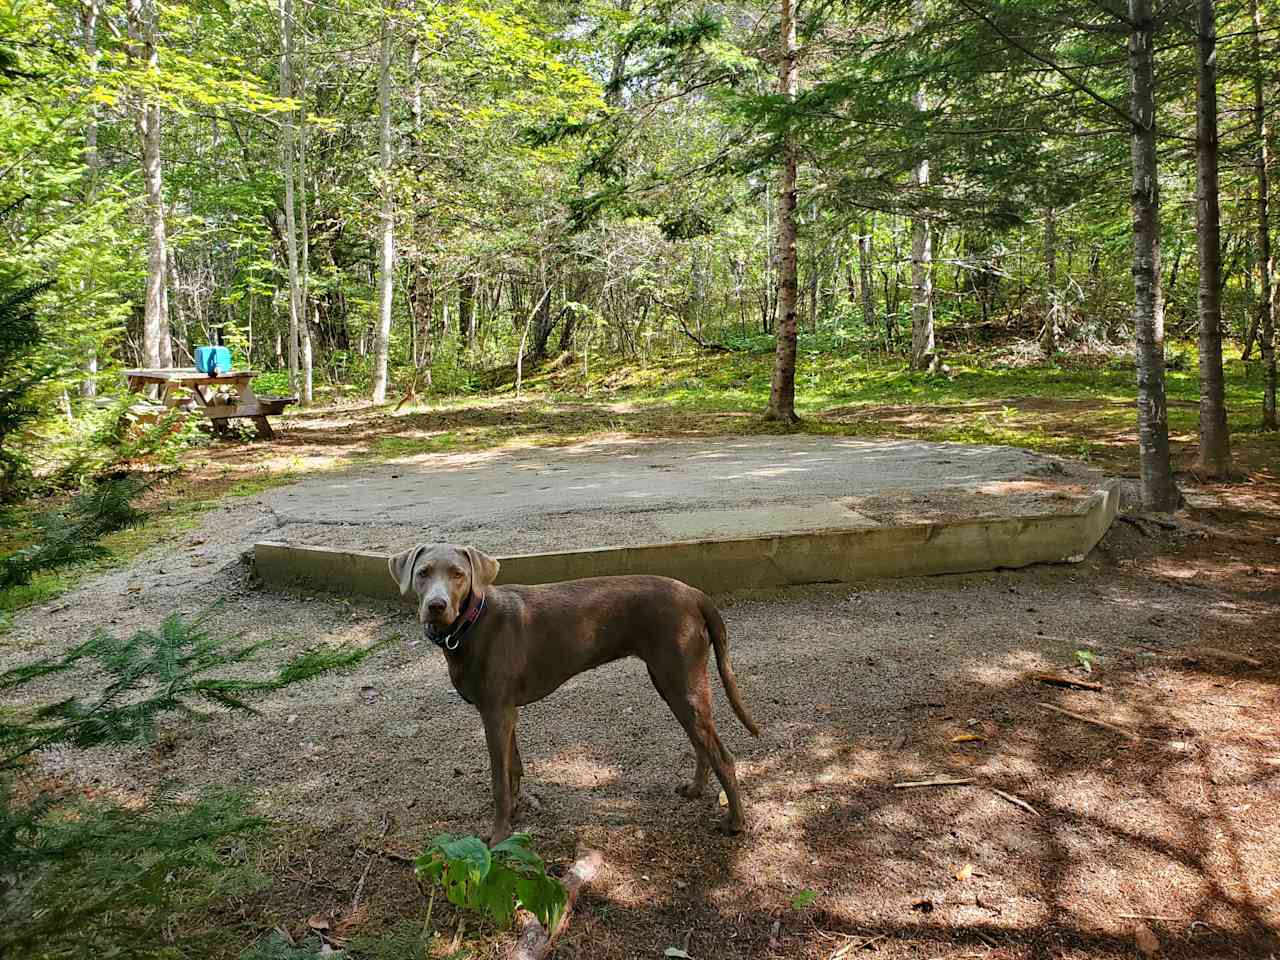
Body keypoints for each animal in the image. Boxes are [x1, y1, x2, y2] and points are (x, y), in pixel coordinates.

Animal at [384, 545, 752, 844]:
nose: (436, 606)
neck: (471, 624)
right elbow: (513, 767)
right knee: (701, 743)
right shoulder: (505, 711)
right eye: (422, 573)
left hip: (681, 683)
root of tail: (693, 592)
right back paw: (695, 790)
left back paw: (735, 822)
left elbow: (498, 781)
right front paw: (515, 811)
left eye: (458, 574)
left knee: (723, 756)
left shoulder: (494, 712)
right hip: (673, 685)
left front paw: (499, 836)